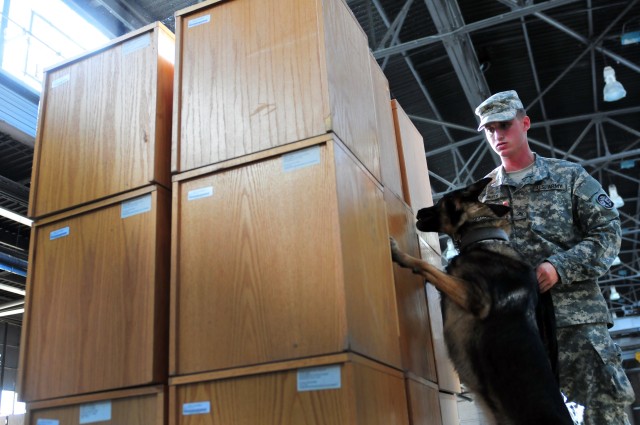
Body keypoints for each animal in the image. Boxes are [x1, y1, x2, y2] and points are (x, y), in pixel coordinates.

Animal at [392, 177, 572, 422]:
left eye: (441, 201)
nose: (419, 210)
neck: (483, 235)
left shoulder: (475, 298)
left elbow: (428, 266)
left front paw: (401, 255)